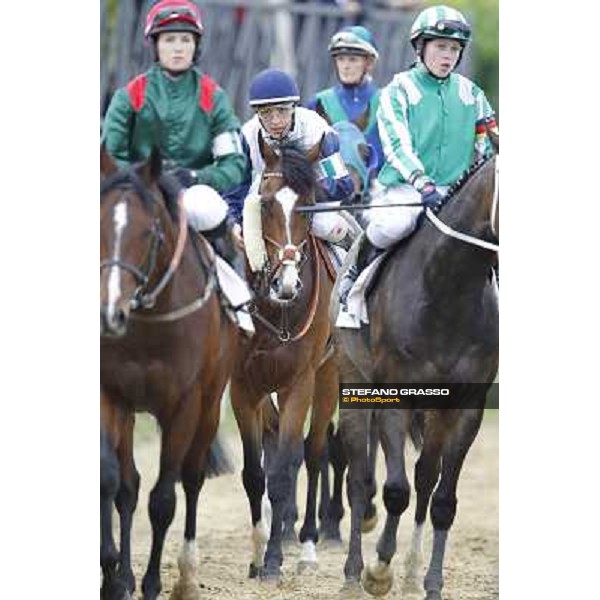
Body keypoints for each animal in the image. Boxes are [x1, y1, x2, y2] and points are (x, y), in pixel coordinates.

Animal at [99, 146, 238, 600]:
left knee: (191, 480)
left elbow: (164, 499)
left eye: (150, 234)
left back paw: (187, 576)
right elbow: (111, 481)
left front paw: (153, 583)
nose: (109, 313)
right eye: (98, 224)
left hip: (210, 404)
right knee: (129, 486)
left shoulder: (185, 404)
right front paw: (113, 577)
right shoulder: (112, 395)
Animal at [330, 152, 500, 596]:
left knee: (426, 476)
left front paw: (431, 583)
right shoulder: (394, 397)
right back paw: (353, 573)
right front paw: (377, 572)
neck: (449, 291)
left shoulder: (466, 408)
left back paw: (409, 573)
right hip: (353, 384)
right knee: (359, 478)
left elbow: (442, 500)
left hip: (435, 411)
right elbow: (394, 490)